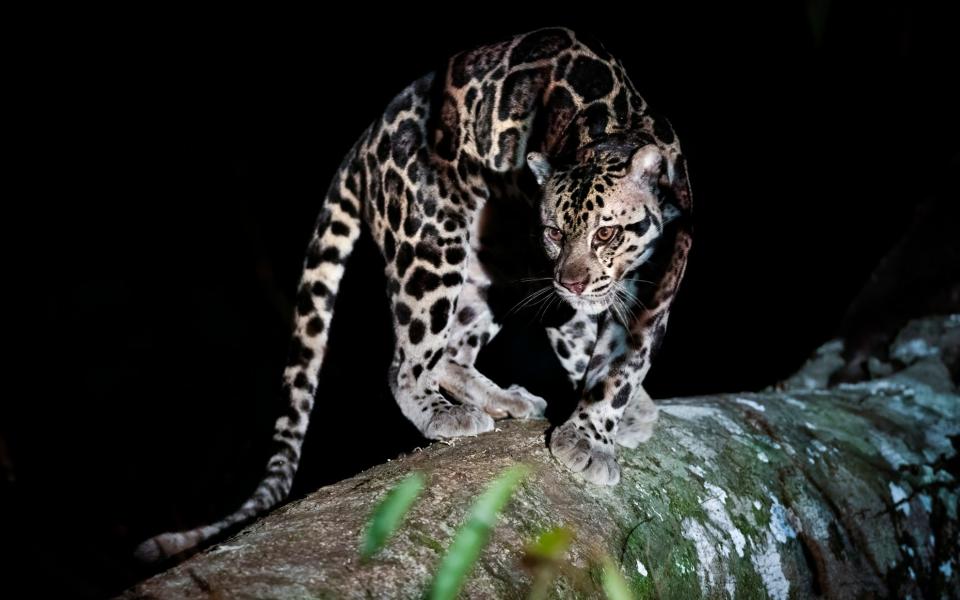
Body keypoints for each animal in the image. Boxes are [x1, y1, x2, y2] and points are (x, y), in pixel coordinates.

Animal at [135, 27, 688, 564]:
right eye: (554, 231)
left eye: (605, 233)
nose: (570, 281)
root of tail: (366, 139)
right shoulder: (554, 288)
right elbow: (585, 349)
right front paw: (590, 439)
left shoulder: (656, 286)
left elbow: (620, 363)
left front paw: (615, 414)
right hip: (432, 246)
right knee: (408, 362)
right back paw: (445, 412)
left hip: (490, 267)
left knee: (452, 351)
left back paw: (503, 398)